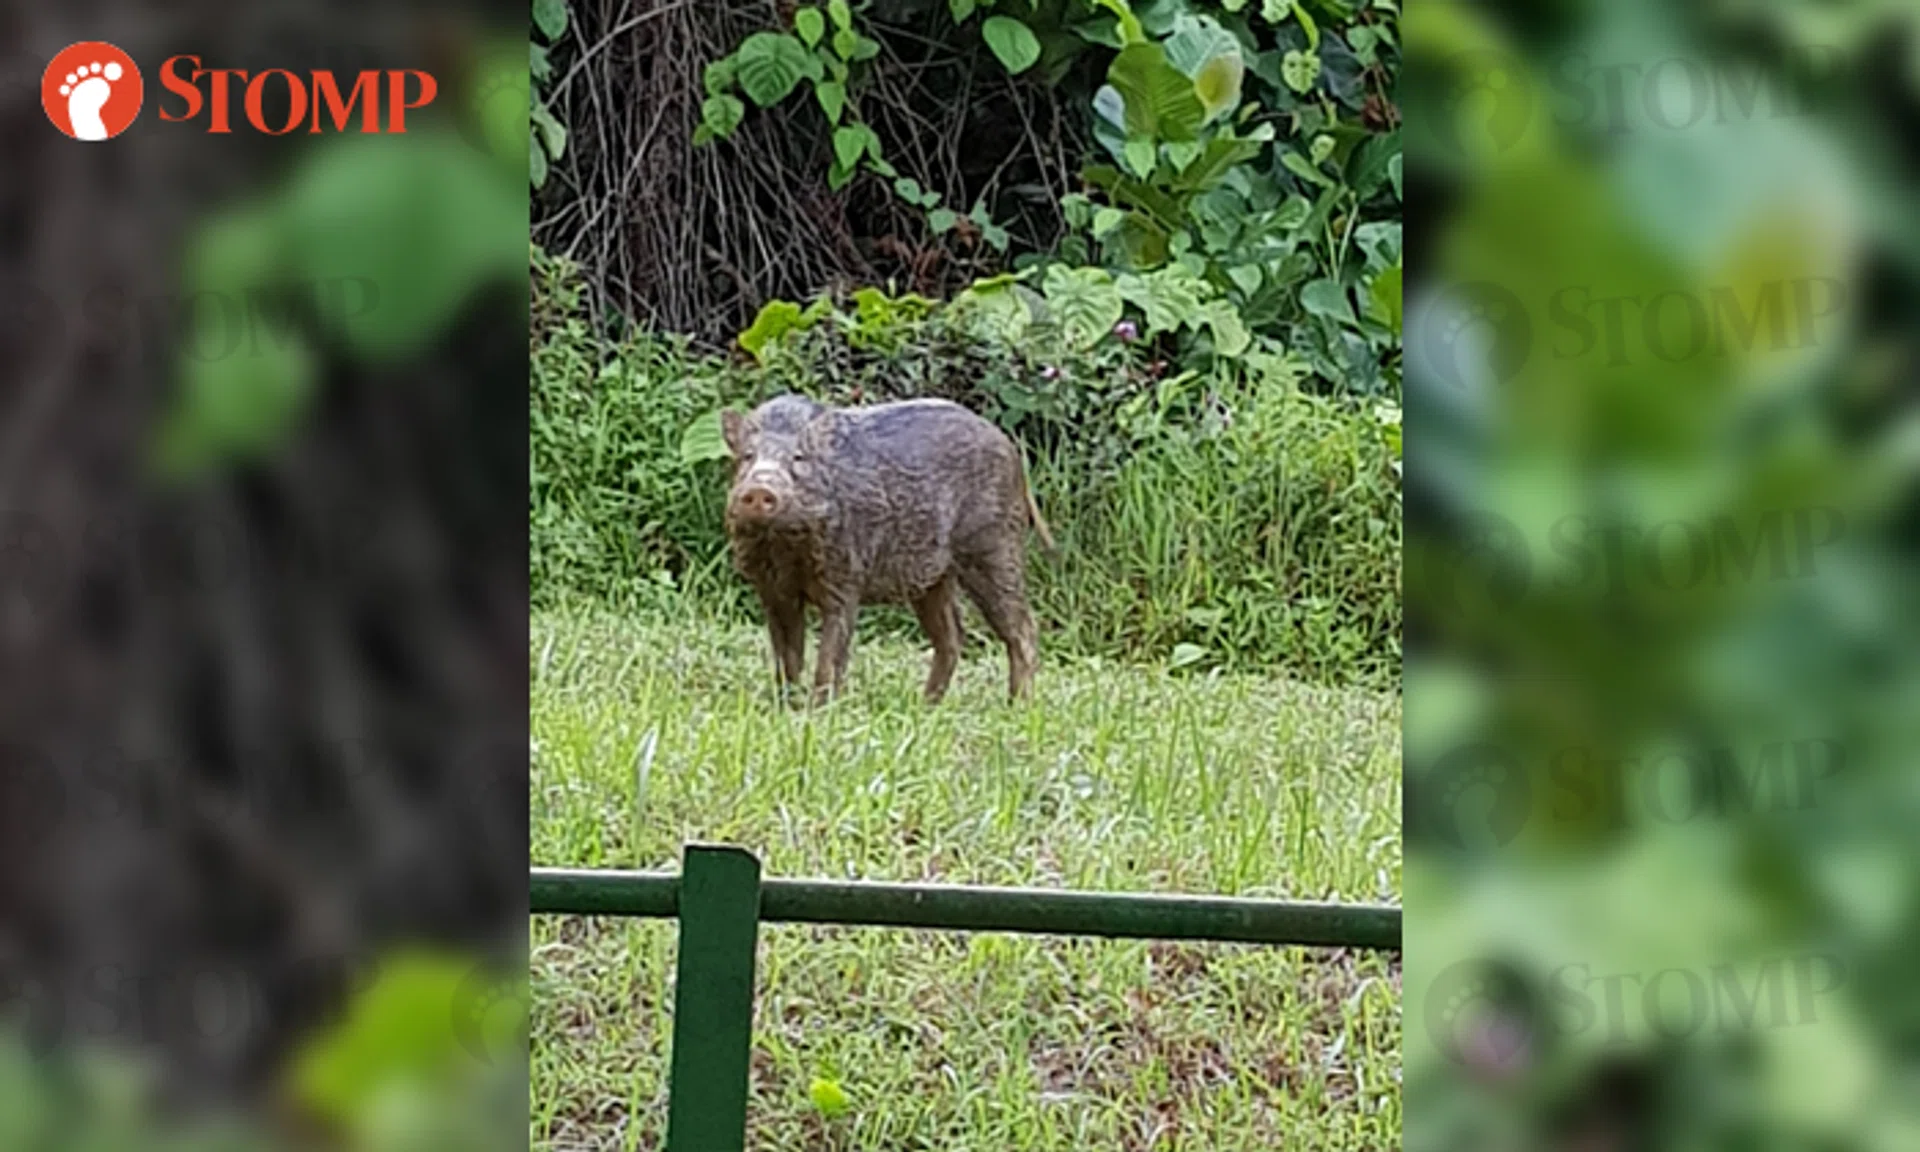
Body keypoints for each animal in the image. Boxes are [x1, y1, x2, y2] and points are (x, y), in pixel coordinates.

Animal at [721, 394, 1056, 704]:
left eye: (798, 458)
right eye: (747, 456)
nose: (759, 489)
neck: (785, 547)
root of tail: (1012, 453)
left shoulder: (845, 579)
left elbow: (829, 659)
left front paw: (818, 712)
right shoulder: (773, 590)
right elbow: (786, 659)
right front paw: (787, 708)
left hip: (994, 549)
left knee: (1023, 629)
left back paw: (1016, 706)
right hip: (934, 579)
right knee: (951, 636)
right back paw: (926, 706)